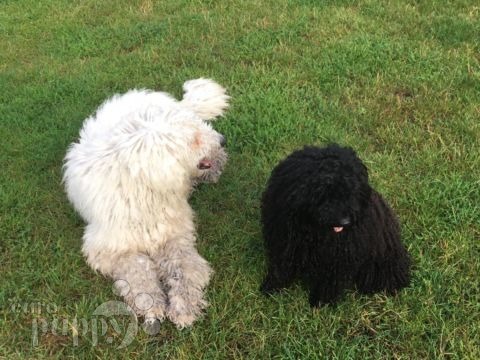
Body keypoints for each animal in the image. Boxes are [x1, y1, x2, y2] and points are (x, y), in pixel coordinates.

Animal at [63, 79, 229, 330]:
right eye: (194, 139)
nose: (222, 140)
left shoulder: (175, 235)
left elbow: (184, 268)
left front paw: (184, 306)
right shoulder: (113, 249)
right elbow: (138, 271)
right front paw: (151, 304)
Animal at [260, 144, 410, 306]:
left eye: (352, 191)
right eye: (325, 190)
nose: (346, 221)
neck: (313, 228)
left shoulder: (337, 255)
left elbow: (330, 279)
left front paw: (321, 302)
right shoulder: (286, 241)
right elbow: (281, 266)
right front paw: (271, 287)